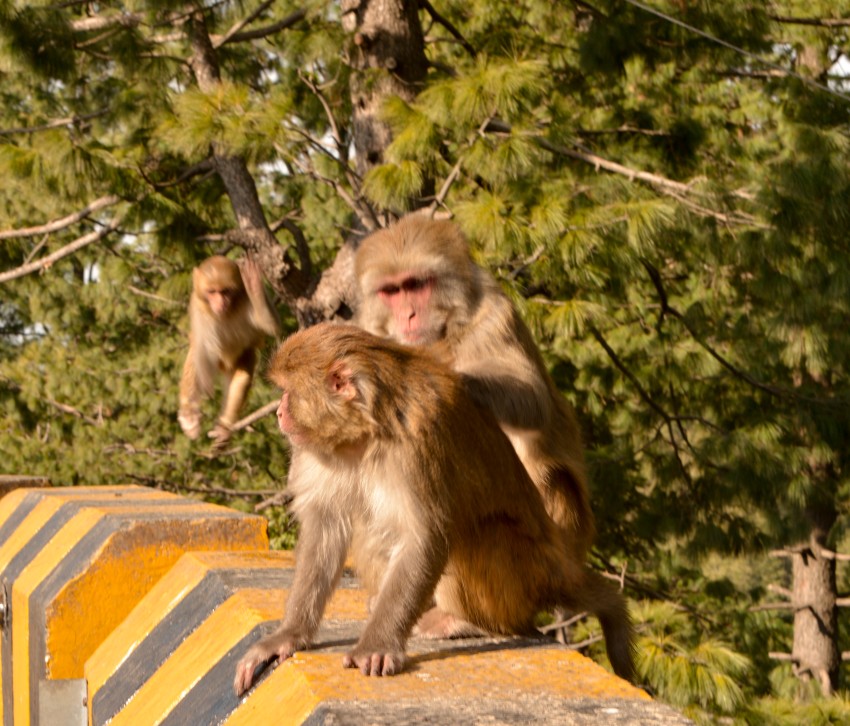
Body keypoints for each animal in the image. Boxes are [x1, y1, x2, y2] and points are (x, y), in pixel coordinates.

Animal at [178, 255, 280, 447]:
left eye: (225, 291)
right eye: (212, 292)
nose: (220, 302)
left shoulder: (246, 301)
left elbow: (272, 326)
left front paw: (254, 285)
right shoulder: (198, 308)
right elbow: (202, 351)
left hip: (243, 357)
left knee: (242, 376)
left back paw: (225, 426)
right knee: (197, 354)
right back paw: (189, 415)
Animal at [232, 323, 634, 697]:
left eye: (289, 392)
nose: (279, 412)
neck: (364, 433)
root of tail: (555, 572)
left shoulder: (419, 440)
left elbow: (425, 536)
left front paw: (378, 644)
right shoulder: (318, 451)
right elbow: (325, 527)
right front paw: (289, 634)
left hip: (524, 579)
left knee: (482, 534)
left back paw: (465, 621)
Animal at [354, 214, 595, 564]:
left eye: (415, 285)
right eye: (391, 291)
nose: (408, 316)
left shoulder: (493, 316)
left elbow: (532, 399)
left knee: (551, 478)